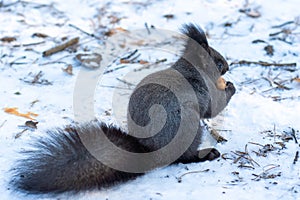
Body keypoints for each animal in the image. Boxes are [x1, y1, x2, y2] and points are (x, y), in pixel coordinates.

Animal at [9, 23, 236, 194]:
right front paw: (231, 87)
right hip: (188, 127)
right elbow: (213, 108)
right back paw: (205, 154)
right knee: (181, 158)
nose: (228, 66)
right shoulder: (202, 89)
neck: (191, 70)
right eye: (217, 62)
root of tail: (149, 153)